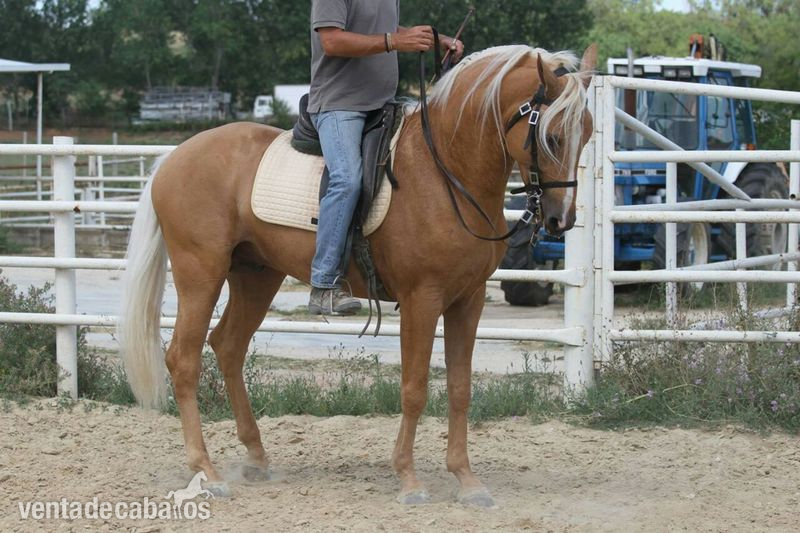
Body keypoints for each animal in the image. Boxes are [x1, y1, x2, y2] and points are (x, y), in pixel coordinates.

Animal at [118, 43, 596, 506]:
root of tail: (172, 159)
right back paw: (208, 472)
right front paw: (408, 480)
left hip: (256, 276)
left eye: (588, 133)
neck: (446, 173)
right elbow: (414, 387)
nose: (561, 220)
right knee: (184, 360)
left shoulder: (469, 299)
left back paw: (256, 457)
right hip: (200, 273)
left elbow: (460, 388)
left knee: (229, 347)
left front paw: (467, 481)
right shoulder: (422, 300)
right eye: (552, 136)